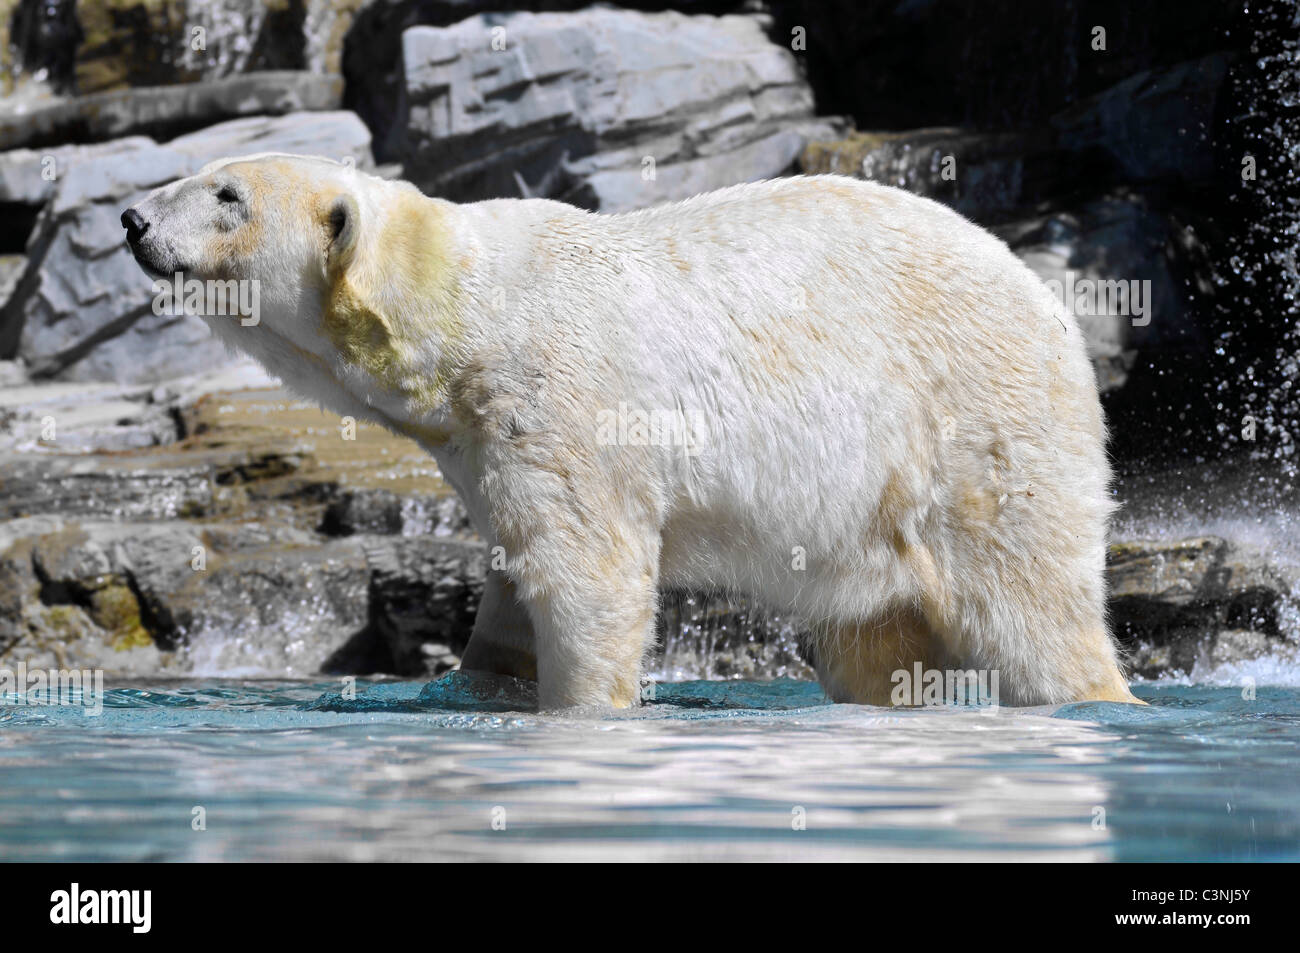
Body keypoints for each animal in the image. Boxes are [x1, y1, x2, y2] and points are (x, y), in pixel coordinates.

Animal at [122, 154, 1138, 707]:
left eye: (227, 195)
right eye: (204, 179)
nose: (132, 217)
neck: (461, 315)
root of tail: (1050, 304)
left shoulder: (561, 397)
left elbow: (589, 569)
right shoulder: (482, 440)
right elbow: (510, 592)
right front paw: (477, 684)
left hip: (974, 428)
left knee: (1031, 609)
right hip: (868, 518)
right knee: (877, 641)